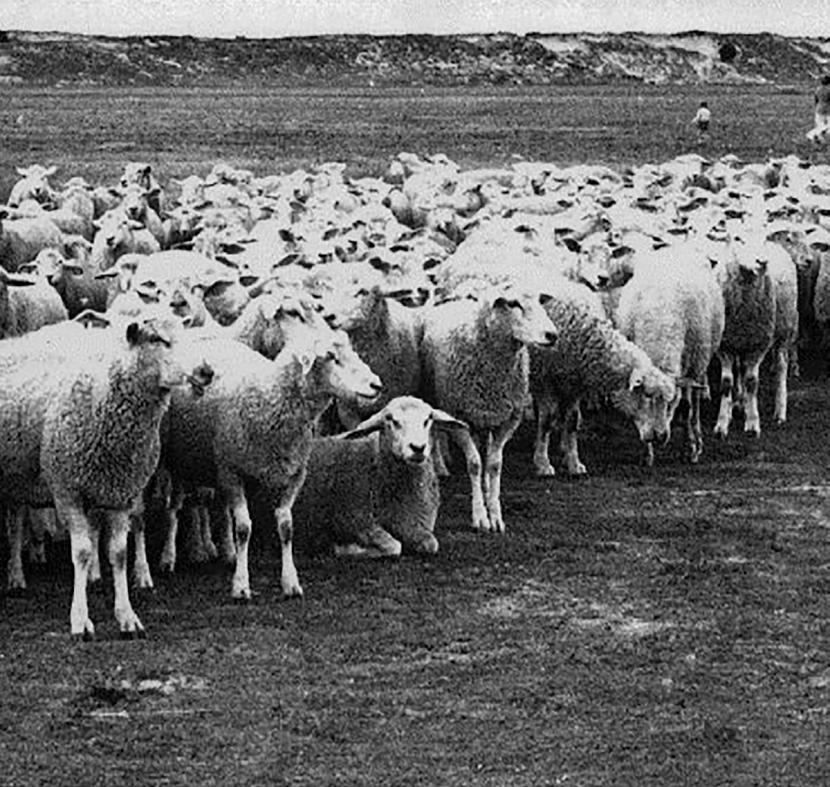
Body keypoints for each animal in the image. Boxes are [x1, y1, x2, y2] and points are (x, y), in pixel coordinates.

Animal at [0, 310, 218, 636]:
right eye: (158, 339)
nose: (206, 371)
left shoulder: (121, 493)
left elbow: (118, 553)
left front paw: (127, 617)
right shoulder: (68, 490)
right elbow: (81, 552)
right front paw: (80, 620)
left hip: (17, 478)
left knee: (15, 522)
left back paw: (16, 576)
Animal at [163, 324, 384, 600]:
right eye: (331, 356)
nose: (377, 384)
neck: (270, 397)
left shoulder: (293, 475)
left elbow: (286, 526)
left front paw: (290, 582)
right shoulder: (233, 471)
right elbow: (244, 528)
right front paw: (241, 584)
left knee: (223, 510)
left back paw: (229, 553)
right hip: (181, 461)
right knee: (175, 508)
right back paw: (169, 557)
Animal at [422, 280, 560, 532]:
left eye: (540, 301)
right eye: (513, 304)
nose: (552, 335)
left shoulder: (508, 420)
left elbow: (494, 464)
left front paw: (495, 513)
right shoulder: (459, 419)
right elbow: (475, 463)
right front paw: (480, 516)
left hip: (486, 416)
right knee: (436, 434)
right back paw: (439, 466)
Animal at [528, 274, 680, 478]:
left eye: (668, 402)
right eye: (647, 395)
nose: (662, 436)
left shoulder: (573, 383)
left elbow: (572, 421)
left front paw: (574, 464)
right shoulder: (544, 378)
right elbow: (547, 421)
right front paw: (543, 464)